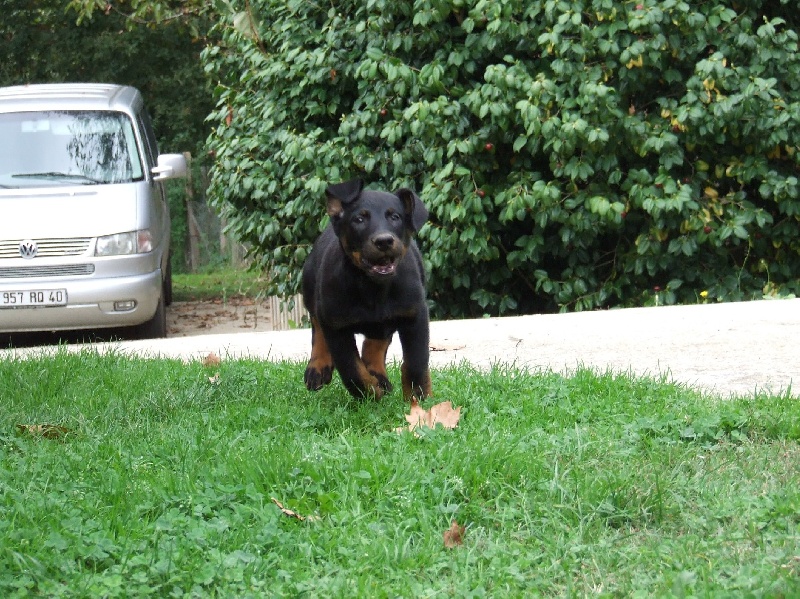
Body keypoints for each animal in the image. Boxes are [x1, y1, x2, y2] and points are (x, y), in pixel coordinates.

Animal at [304, 178, 432, 404]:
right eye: (359, 219)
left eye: (395, 217)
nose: (384, 241)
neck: (373, 287)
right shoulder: (335, 324)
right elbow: (351, 370)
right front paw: (370, 392)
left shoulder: (414, 315)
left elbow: (416, 362)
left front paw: (419, 399)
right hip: (310, 288)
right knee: (317, 322)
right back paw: (317, 368)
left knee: (377, 340)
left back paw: (378, 374)